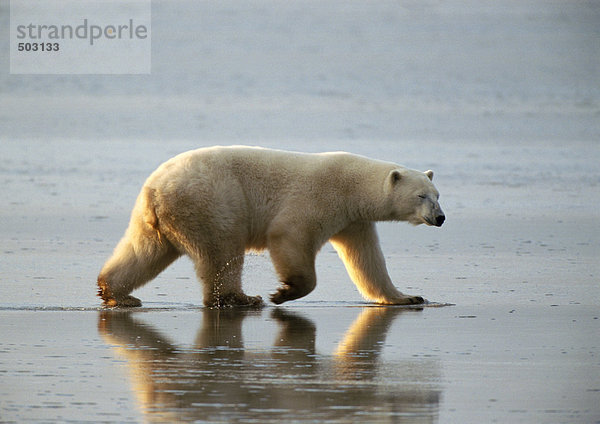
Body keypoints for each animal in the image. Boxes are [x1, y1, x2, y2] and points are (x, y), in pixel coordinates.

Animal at [98, 146, 442, 308]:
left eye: (438, 195)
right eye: (421, 196)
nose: (440, 218)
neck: (353, 187)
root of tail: (156, 189)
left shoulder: (354, 221)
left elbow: (368, 261)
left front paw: (408, 297)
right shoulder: (320, 197)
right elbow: (290, 234)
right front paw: (284, 292)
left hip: (157, 218)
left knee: (144, 251)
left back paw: (115, 292)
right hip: (209, 201)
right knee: (222, 251)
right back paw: (241, 299)